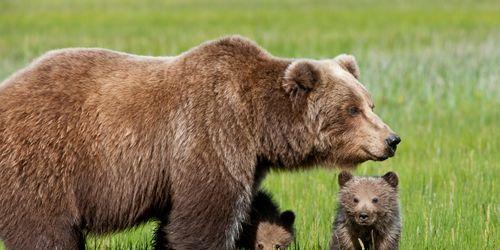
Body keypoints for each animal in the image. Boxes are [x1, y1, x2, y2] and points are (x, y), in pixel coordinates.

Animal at [0, 36, 398, 249]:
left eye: (370, 103)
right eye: (351, 109)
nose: (392, 139)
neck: (258, 123)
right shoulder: (211, 132)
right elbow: (206, 215)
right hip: (45, 161)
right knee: (46, 230)